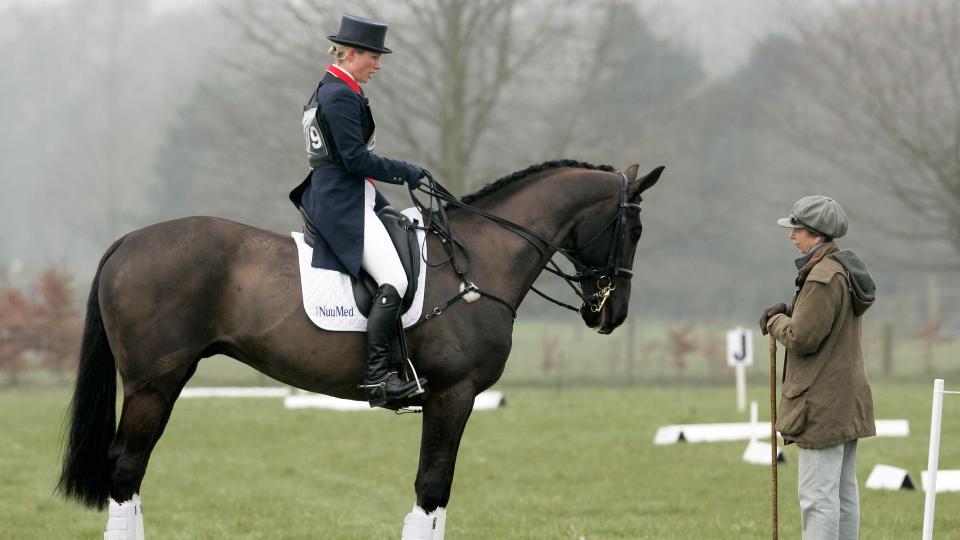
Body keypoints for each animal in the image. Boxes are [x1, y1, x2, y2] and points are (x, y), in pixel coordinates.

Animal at [56, 158, 664, 536]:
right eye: (632, 230)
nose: (610, 314)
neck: (480, 258)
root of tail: (128, 241)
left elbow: (435, 493)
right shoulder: (453, 394)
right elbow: (431, 489)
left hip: (167, 381)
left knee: (132, 473)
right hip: (152, 385)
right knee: (126, 469)